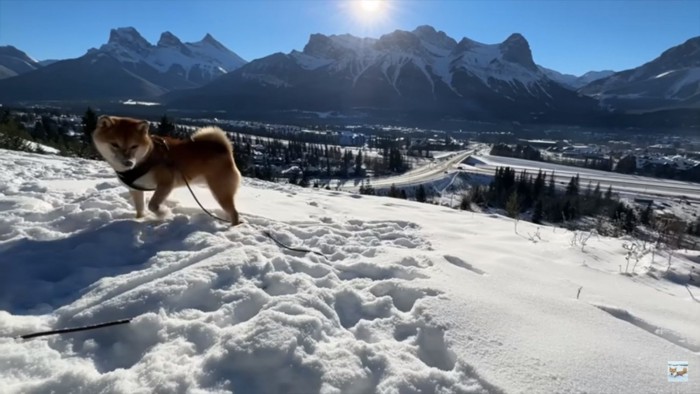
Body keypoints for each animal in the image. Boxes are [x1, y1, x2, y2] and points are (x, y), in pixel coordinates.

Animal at [93, 115, 241, 225]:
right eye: (114, 144)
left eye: (134, 146)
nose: (128, 162)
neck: (146, 158)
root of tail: (223, 149)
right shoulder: (136, 190)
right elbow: (140, 209)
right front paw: (139, 220)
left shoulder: (166, 183)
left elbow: (152, 205)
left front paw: (164, 213)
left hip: (220, 191)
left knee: (234, 213)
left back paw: (231, 227)